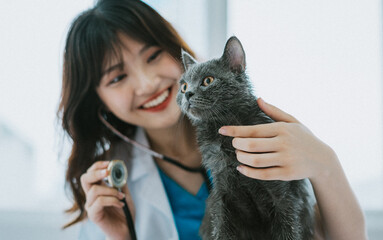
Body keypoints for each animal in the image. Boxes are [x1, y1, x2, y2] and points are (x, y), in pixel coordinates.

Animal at [177, 36, 316, 240]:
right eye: (184, 86)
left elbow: (288, 230)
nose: (187, 94)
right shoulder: (222, 197)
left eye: (208, 80)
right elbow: (221, 230)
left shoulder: (284, 196)